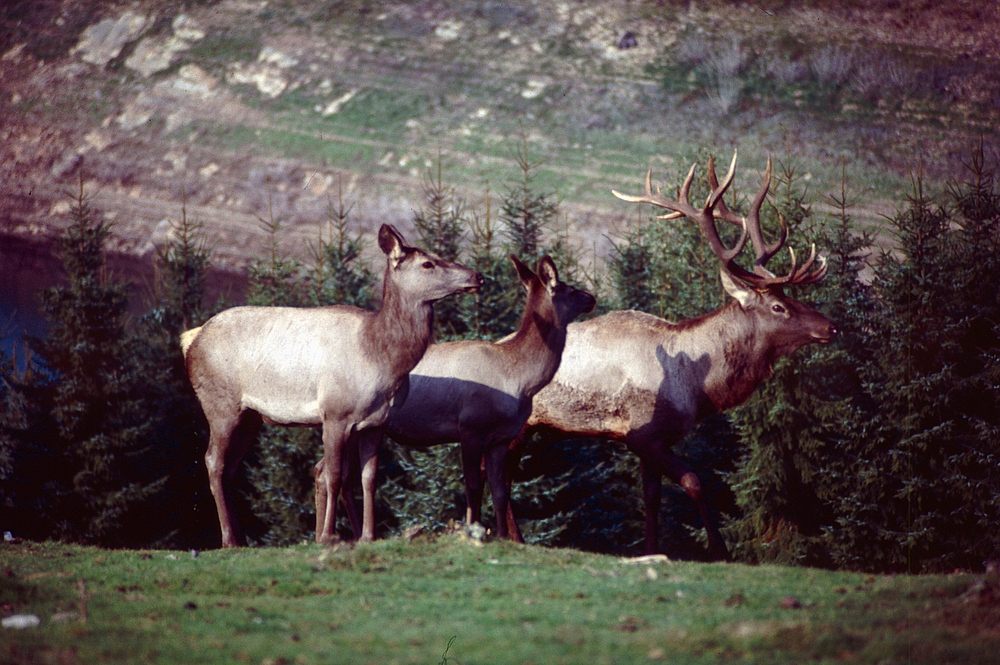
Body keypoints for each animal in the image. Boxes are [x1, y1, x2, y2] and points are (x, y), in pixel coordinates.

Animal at [181, 223, 484, 544]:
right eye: (428, 263)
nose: (478, 276)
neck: (381, 358)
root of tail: (191, 339)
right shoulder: (335, 413)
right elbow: (335, 476)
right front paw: (329, 535)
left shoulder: (377, 423)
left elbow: (368, 478)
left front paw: (368, 535)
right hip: (220, 404)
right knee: (213, 461)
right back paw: (229, 539)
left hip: (250, 416)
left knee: (230, 467)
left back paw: (240, 538)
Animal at [318, 253, 592, 540]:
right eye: (569, 289)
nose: (591, 298)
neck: (520, 379)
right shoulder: (471, 426)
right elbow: (472, 485)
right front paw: (473, 530)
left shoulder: (501, 437)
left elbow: (499, 490)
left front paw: (501, 536)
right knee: (328, 472)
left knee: (333, 474)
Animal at [500, 153, 836, 556]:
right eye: (778, 306)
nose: (831, 326)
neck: (697, 387)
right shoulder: (642, 434)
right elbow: (694, 481)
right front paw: (719, 551)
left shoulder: (656, 439)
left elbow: (651, 498)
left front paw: (651, 549)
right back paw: (512, 537)